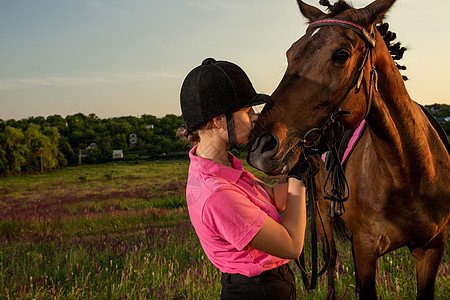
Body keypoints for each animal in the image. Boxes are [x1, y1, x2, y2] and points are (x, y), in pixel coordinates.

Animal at [246, 1, 450, 298]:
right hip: (323, 219)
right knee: (331, 265)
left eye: (341, 54)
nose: (260, 146)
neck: (410, 173)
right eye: (290, 53)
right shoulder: (365, 251)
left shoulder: (431, 248)